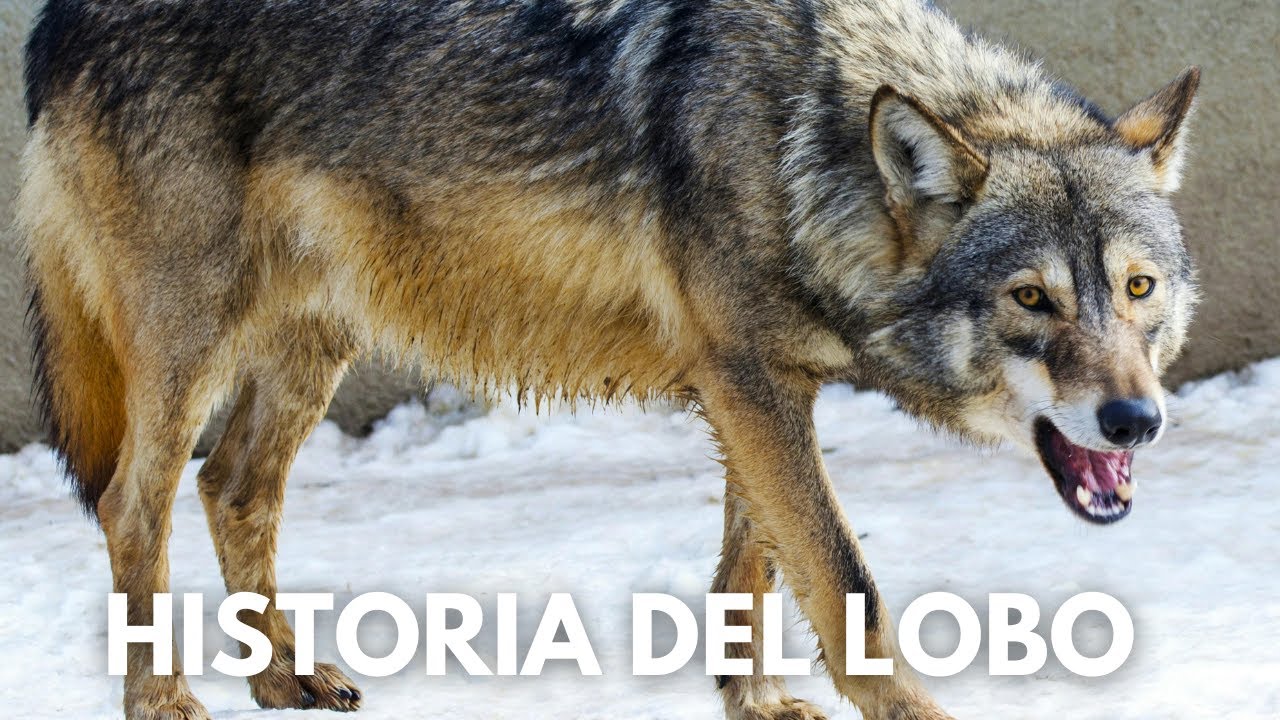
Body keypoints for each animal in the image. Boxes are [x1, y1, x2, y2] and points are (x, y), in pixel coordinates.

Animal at [18, 0, 1199, 718]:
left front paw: (751, 702)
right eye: (1031, 299)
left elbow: (755, 564)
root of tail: (50, 20)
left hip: (315, 341)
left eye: (1137, 290)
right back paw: (162, 699)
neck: (800, 138)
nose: (1136, 423)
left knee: (232, 487)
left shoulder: (756, 383)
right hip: (191, 346)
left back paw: (285, 679)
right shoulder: (746, 382)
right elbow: (842, 581)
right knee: (134, 503)